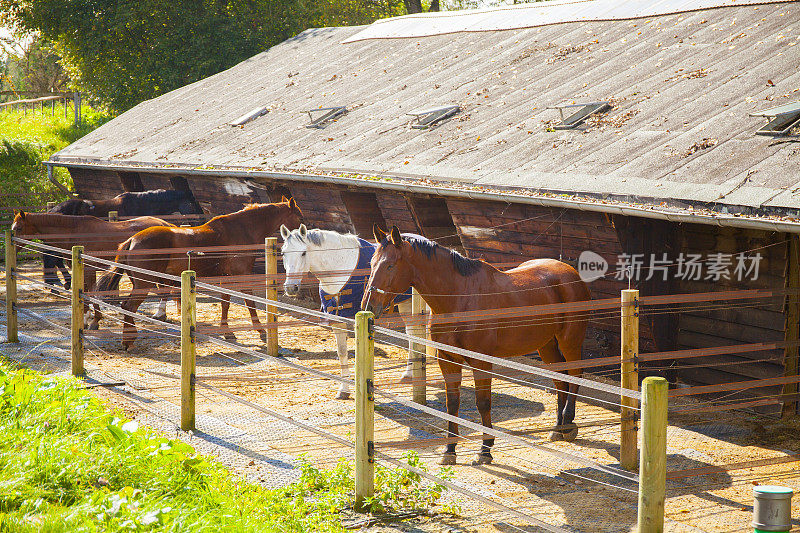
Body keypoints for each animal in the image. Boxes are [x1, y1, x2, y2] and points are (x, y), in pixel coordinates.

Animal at [11, 212, 177, 328]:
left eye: (19, 228)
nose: (12, 246)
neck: (74, 233)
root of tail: (165, 223)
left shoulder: (89, 269)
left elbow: (91, 293)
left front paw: (93, 321)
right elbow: (86, 293)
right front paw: (88, 318)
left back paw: (159, 314)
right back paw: (160, 314)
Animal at [96, 198, 304, 350]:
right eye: (300, 218)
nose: (304, 234)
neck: (241, 229)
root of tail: (132, 240)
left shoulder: (226, 278)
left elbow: (225, 303)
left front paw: (227, 331)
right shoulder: (241, 276)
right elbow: (250, 303)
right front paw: (261, 331)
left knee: (126, 307)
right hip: (143, 284)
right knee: (128, 306)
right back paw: (128, 341)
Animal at [282, 222, 418, 396]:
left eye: (303, 253)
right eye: (283, 253)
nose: (290, 288)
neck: (339, 269)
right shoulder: (336, 319)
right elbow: (342, 352)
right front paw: (344, 389)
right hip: (405, 304)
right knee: (412, 333)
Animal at [360, 224, 588, 466]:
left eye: (390, 265)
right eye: (372, 263)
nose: (368, 306)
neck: (460, 298)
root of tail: (570, 273)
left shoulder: (481, 362)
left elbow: (483, 403)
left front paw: (485, 450)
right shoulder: (447, 360)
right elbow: (452, 404)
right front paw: (450, 450)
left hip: (569, 341)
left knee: (575, 373)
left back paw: (568, 424)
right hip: (547, 345)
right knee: (560, 378)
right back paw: (558, 427)